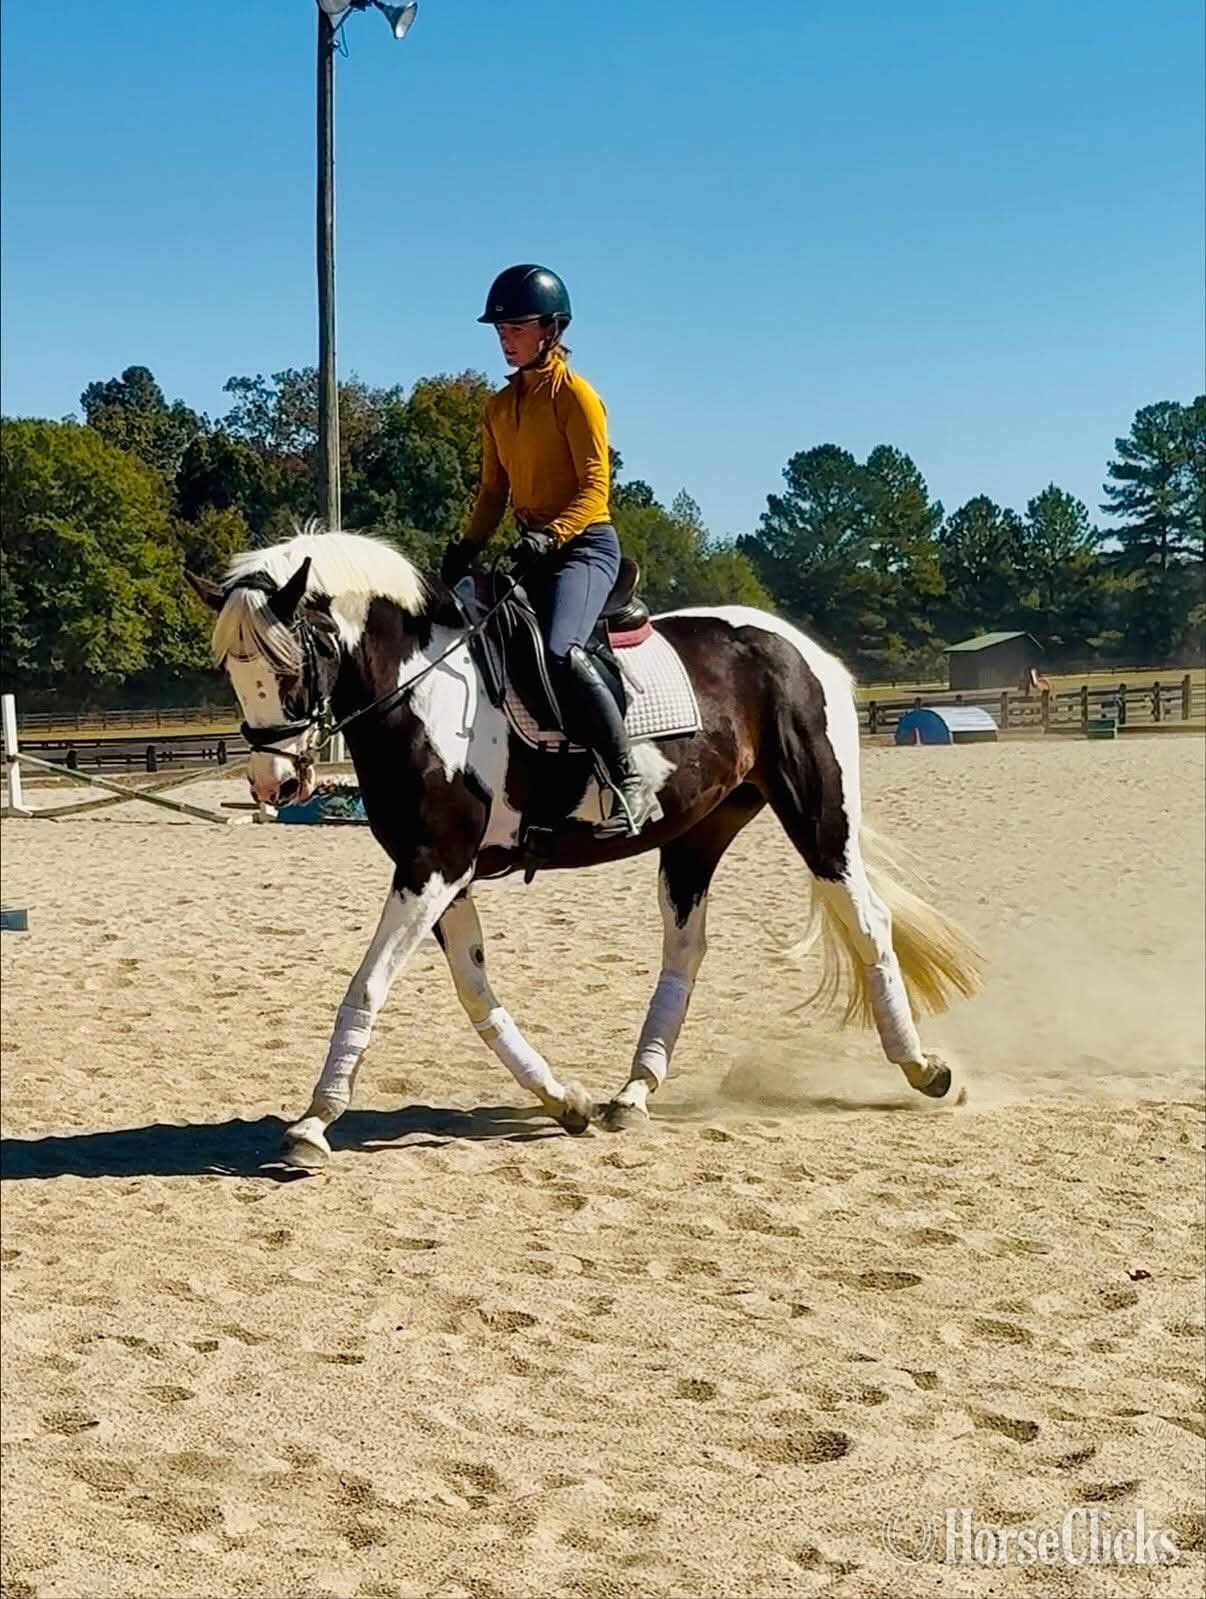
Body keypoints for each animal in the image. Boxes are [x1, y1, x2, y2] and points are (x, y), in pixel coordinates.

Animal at [187, 528, 984, 1172]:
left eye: (292, 662)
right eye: (233, 669)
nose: (274, 781)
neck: (424, 693)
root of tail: (801, 647)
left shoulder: (433, 865)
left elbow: (367, 984)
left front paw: (313, 1123)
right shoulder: (444, 872)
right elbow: (475, 993)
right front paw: (561, 1098)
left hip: (818, 817)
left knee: (869, 923)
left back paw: (923, 1069)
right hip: (697, 834)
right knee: (685, 953)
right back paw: (632, 1092)